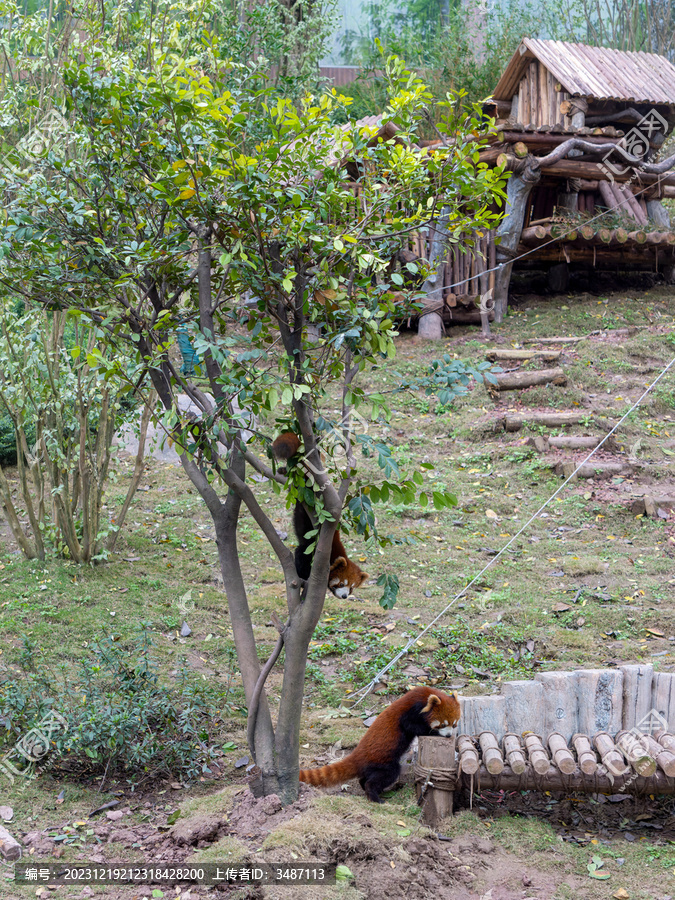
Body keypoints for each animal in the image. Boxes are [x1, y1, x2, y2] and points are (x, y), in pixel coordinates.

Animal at [272, 434, 372, 600]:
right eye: (342, 584)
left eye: (351, 588)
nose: (345, 596)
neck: (332, 556)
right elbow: (303, 554)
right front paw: (303, 580)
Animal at [300, 684, 462, 804]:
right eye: (442, 725)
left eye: (454, 724)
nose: (448, 735)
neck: (424, 697)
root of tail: (357, 754)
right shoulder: (411, 712)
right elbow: (411, 725)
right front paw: (434, 733)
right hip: (382, 762)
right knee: (386, 775)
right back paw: (374, 795)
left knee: (365, 778)